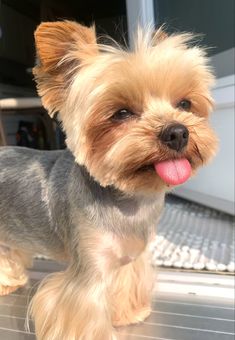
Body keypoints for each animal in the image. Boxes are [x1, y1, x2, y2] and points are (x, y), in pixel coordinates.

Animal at [0, 21, 217, 340]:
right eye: (121, 113)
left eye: (185, 103)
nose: (177, 132)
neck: (129, 200)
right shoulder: (88, 270)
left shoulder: (128, 257)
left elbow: (125, 284)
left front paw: (128, 313)